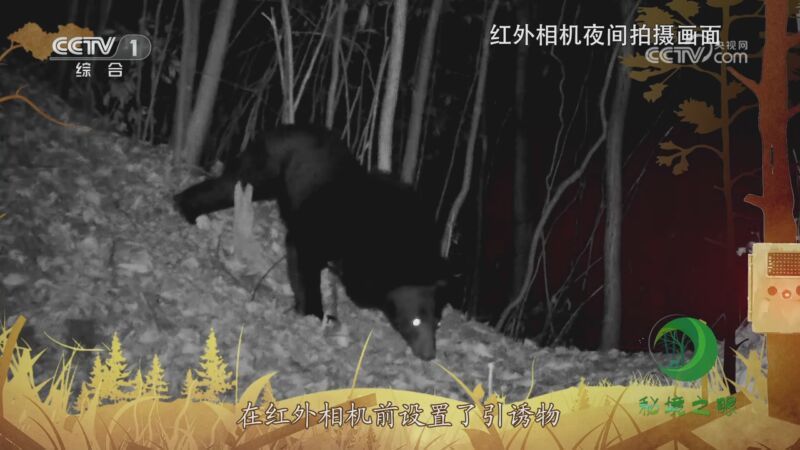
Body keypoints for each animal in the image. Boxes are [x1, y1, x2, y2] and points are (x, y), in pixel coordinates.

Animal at [174, 125, 448, 360]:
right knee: (229, 184)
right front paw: (315, 312)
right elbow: (303, 255)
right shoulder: (329, 227)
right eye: (415, 320)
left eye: (437, 322)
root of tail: (270, 131)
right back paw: (187, 208)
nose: (429, 354)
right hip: (264, 170)